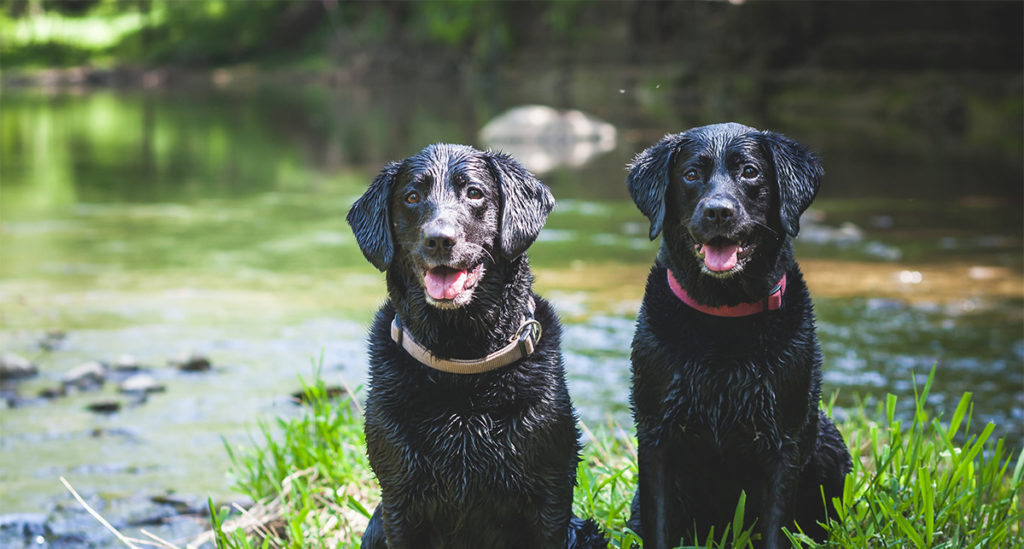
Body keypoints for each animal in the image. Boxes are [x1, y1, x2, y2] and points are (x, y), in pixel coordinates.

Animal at [348, 143, 602, 544]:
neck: (463, 361)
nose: (439, 239)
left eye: (474, 193)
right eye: (411, 197)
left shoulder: (550, 492)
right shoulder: (399, 497)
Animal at [622, 124, 856, 549]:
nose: (718, 211)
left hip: (828, 441)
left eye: (749, 172)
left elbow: (777, 528)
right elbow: (658, 524)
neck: (723, 317)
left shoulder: (784, 441)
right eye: (691, 174)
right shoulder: (655, 435)